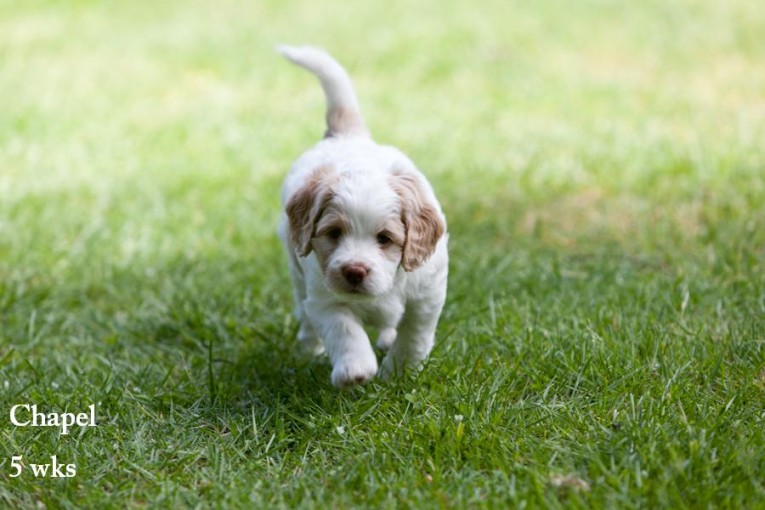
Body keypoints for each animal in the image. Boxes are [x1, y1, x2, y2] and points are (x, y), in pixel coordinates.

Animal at [276, 45, 448, 388]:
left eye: (385, 238)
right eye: (333, 234)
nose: (354, 271)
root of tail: (348, 136)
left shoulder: (427, 296)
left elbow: (414, 338)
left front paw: (398, 374)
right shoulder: (324, 298)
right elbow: (344, 330)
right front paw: (355, 370)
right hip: (295, 268)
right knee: (304, 314)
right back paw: (307, 349)